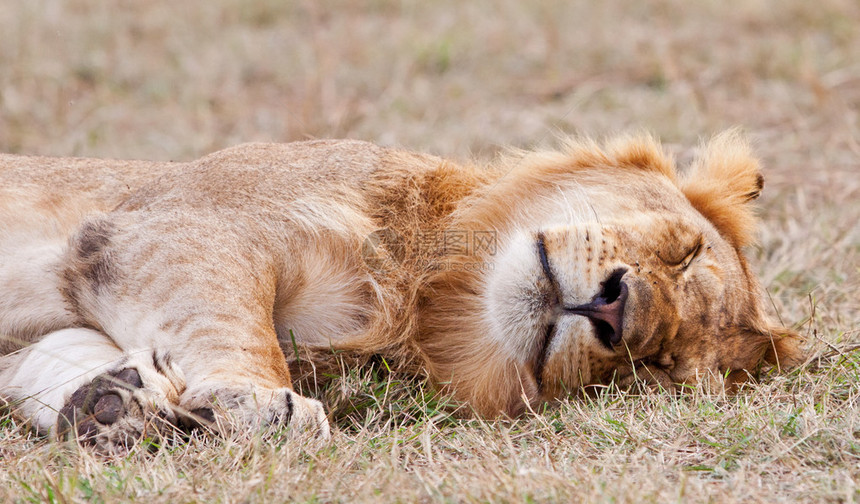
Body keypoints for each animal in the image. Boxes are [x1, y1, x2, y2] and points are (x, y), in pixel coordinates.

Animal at [0, 132, 800, 450]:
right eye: (683, 252)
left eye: (655, 367)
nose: (617, 309)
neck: (421, 295)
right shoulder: (178, 222)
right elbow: (231, 319)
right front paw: (258, 401)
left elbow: (48, 356)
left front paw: (111, 406)